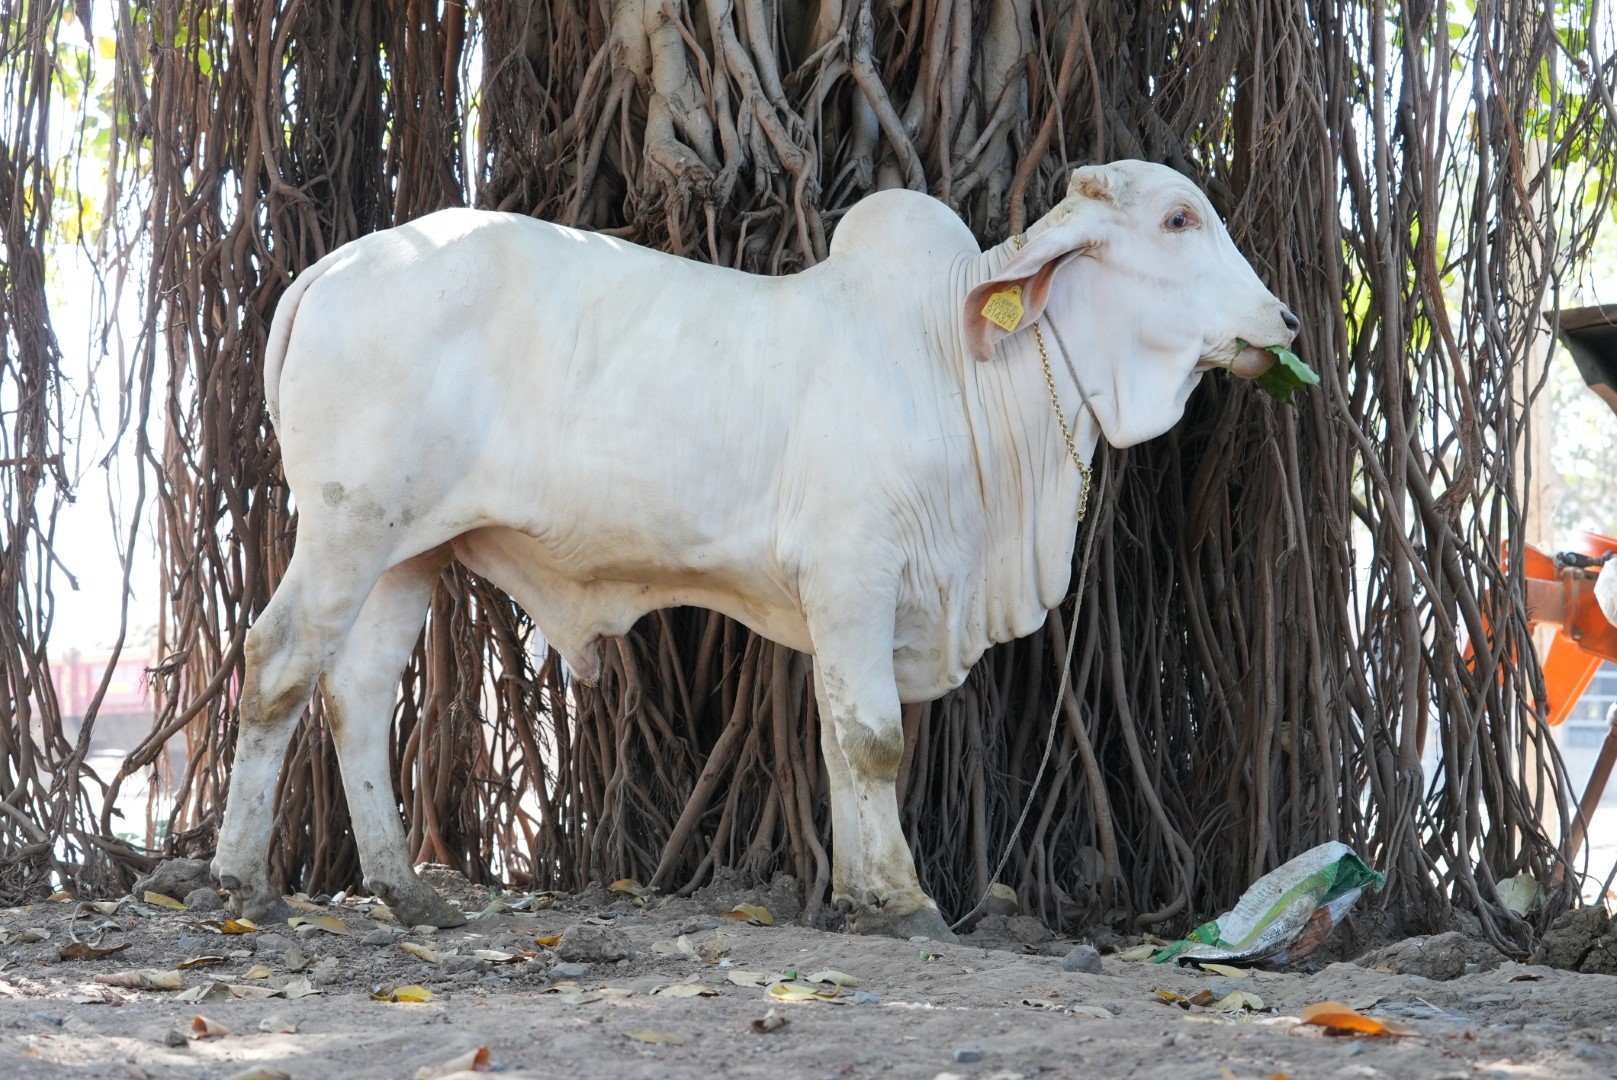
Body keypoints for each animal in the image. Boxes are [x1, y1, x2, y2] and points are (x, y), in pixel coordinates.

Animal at [211, 160, 1298, 942]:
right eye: (1177, 221)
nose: (1284, 319)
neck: (960, 370)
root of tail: (335, 267)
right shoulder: (854, 573)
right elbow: (875, 738)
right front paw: (906, 901)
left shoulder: (848, 606)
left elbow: (839, 742)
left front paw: (860, 894)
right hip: (348, 526)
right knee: (276, 662)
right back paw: (241, 880)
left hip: (412, 547)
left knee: (356, 691)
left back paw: (405, 889)